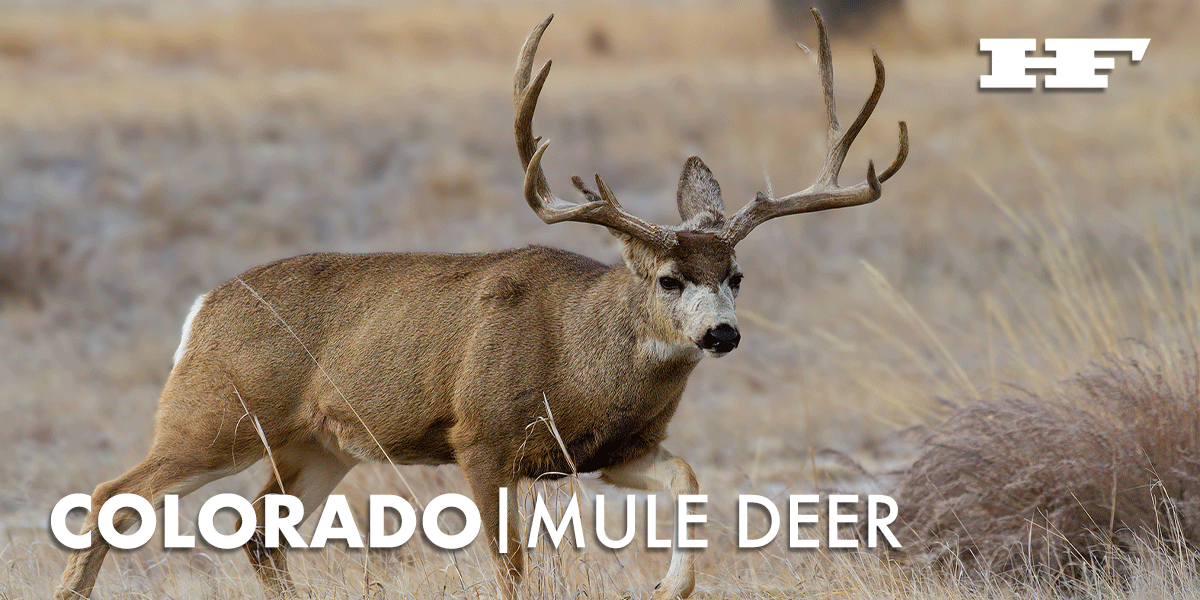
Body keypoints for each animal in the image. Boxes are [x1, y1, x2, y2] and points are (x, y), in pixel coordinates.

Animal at [55, 9, 906, 600]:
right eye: (668, 279)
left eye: (737, 275)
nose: (724, 334)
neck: (580, 356)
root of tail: (201, 308)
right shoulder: (483, 436)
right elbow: (513, 565)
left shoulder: (613, 451)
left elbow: (691, 477)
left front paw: (668, 584)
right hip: (215, 413)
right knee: (111, 496)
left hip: (317, 444)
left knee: (259, 535)